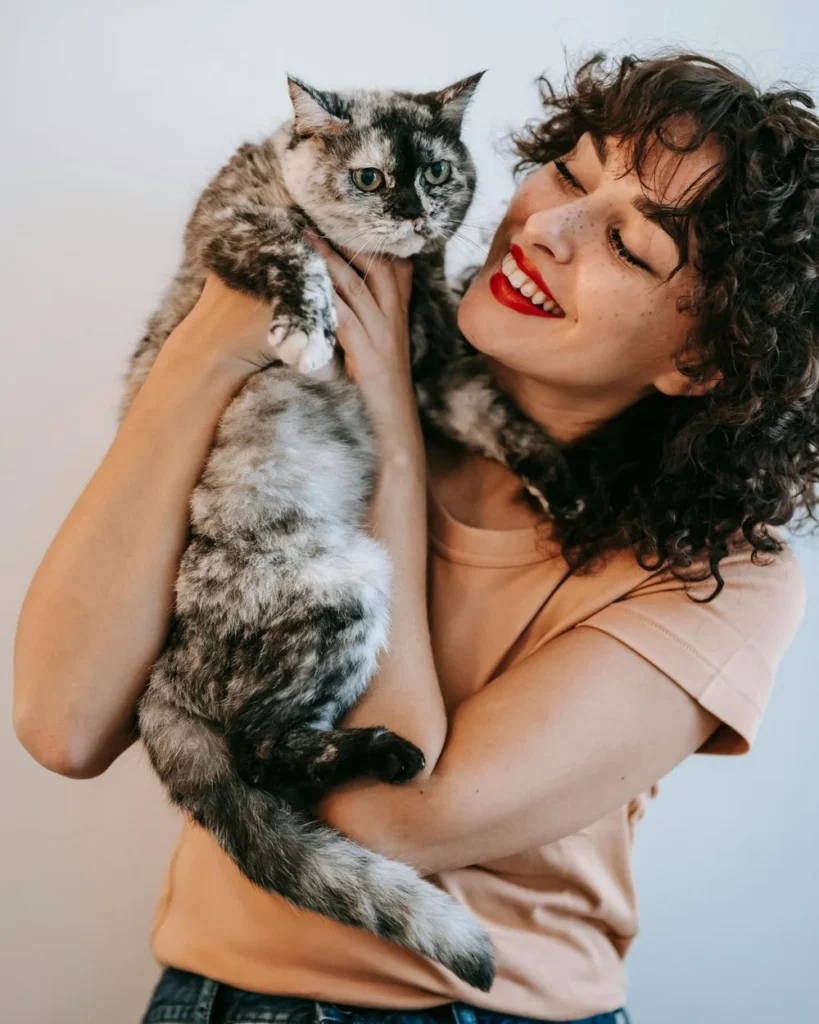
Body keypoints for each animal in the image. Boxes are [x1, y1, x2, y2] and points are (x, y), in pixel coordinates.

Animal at [119, 74, 499, 991]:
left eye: (437, 172)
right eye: (369, 177)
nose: (411, 212)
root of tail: (163, 676)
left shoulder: (435, 361)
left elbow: (502, 418)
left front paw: (581, 489)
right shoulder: (231, 222)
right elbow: (293, 252)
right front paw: (308, 330)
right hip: (344, 582)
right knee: (262, 756)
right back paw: (387, 756)